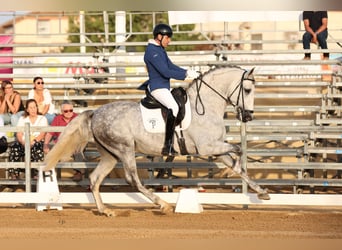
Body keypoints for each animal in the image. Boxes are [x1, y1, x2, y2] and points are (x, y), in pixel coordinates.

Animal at [44, 65, 270, 216]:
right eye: (247, 90)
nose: (248, 117)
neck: (205, 106)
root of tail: (95, 112)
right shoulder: (207, 148)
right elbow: (239, 150)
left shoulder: (216, 149)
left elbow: (239, 163)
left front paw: (262, 193)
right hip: (125, 149)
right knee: (132, 179)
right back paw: (163, 204)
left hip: (110, 155)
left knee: (95, 179)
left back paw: (105, 210)